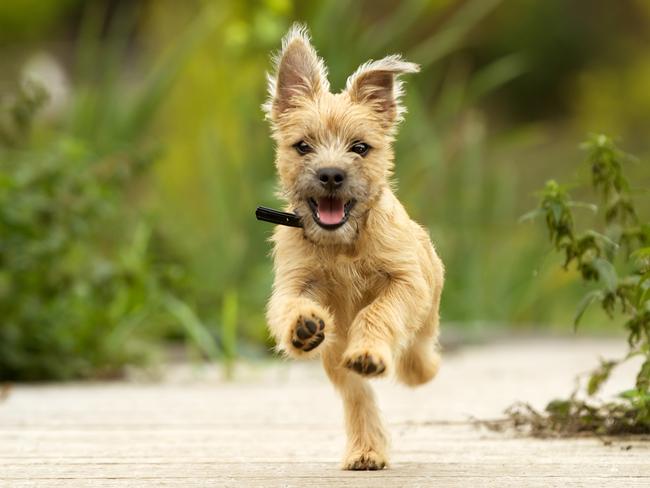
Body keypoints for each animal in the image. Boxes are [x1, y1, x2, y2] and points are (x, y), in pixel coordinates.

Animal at [260, 24, 442, 470]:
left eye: (360, 147)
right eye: (303, 146)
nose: (330, 174)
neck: (341, 244)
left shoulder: (406, 282)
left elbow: (378, 313)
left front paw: (372, 349)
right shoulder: (294, 283)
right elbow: (288, 306)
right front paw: (302, 325)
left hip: (426, 313)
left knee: (417, 355)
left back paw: (411, 367)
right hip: (335, 358)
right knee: (357, 395)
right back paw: (366, 450)